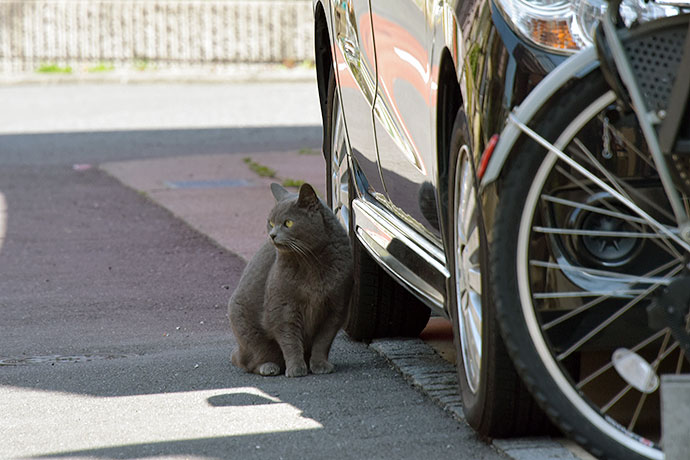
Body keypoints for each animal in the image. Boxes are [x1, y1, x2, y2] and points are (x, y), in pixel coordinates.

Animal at [228, 182, 352, 378]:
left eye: (288, 223)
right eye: (270, 222)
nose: (272, 234)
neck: (311, 262)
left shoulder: (336, 308)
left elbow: (323, 342)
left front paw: (320, 365)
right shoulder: (284, 307)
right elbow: (290, 340)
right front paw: (296, 369)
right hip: (245, 329)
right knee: (248, 361)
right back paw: (268, 367)